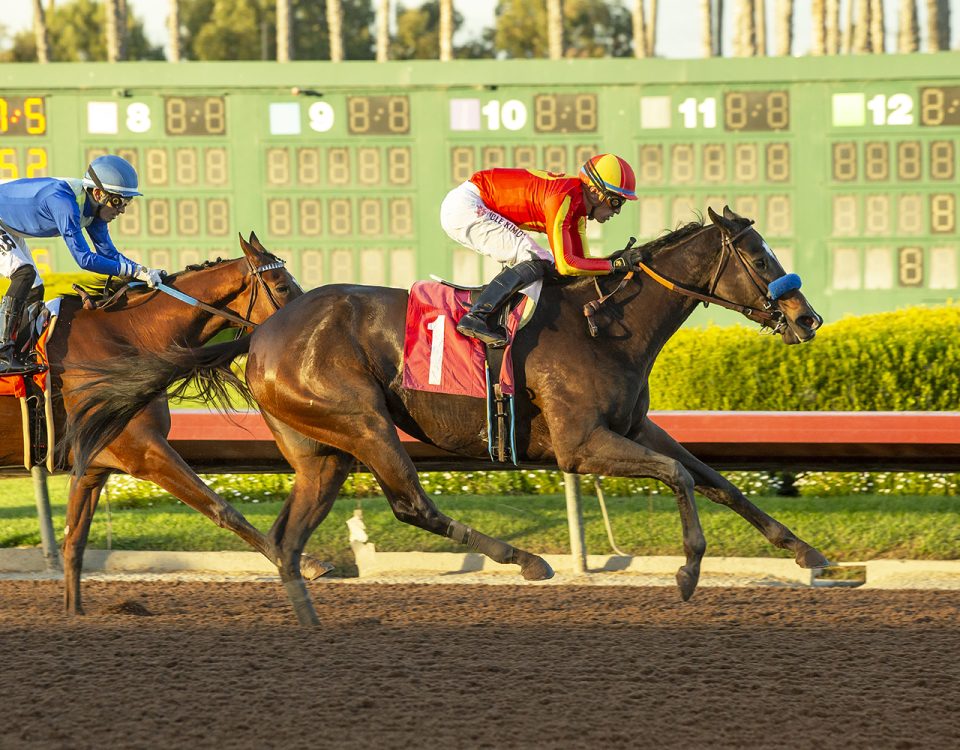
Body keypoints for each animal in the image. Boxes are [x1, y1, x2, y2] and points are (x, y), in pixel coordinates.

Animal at [30, 235, 330, 616]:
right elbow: (222, 508)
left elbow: (75, 541)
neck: (126, 335)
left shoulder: (93, 466)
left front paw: (74, 613)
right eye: (281, 286)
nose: (309, 328)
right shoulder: (144, 451)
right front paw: (301, 561)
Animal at [69, 207, 832, 628]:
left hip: (322, 451)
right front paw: (687, 573)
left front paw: (811, 555)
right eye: (758, 254)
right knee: (411, 503)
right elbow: (679, 475)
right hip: (362, 422)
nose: (808, 319)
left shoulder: (633, 426)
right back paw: (526, 560)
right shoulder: (581, 445)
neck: (604, 323)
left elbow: (715, 479)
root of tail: (259, 334)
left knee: (287, 539)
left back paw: (312, 622)